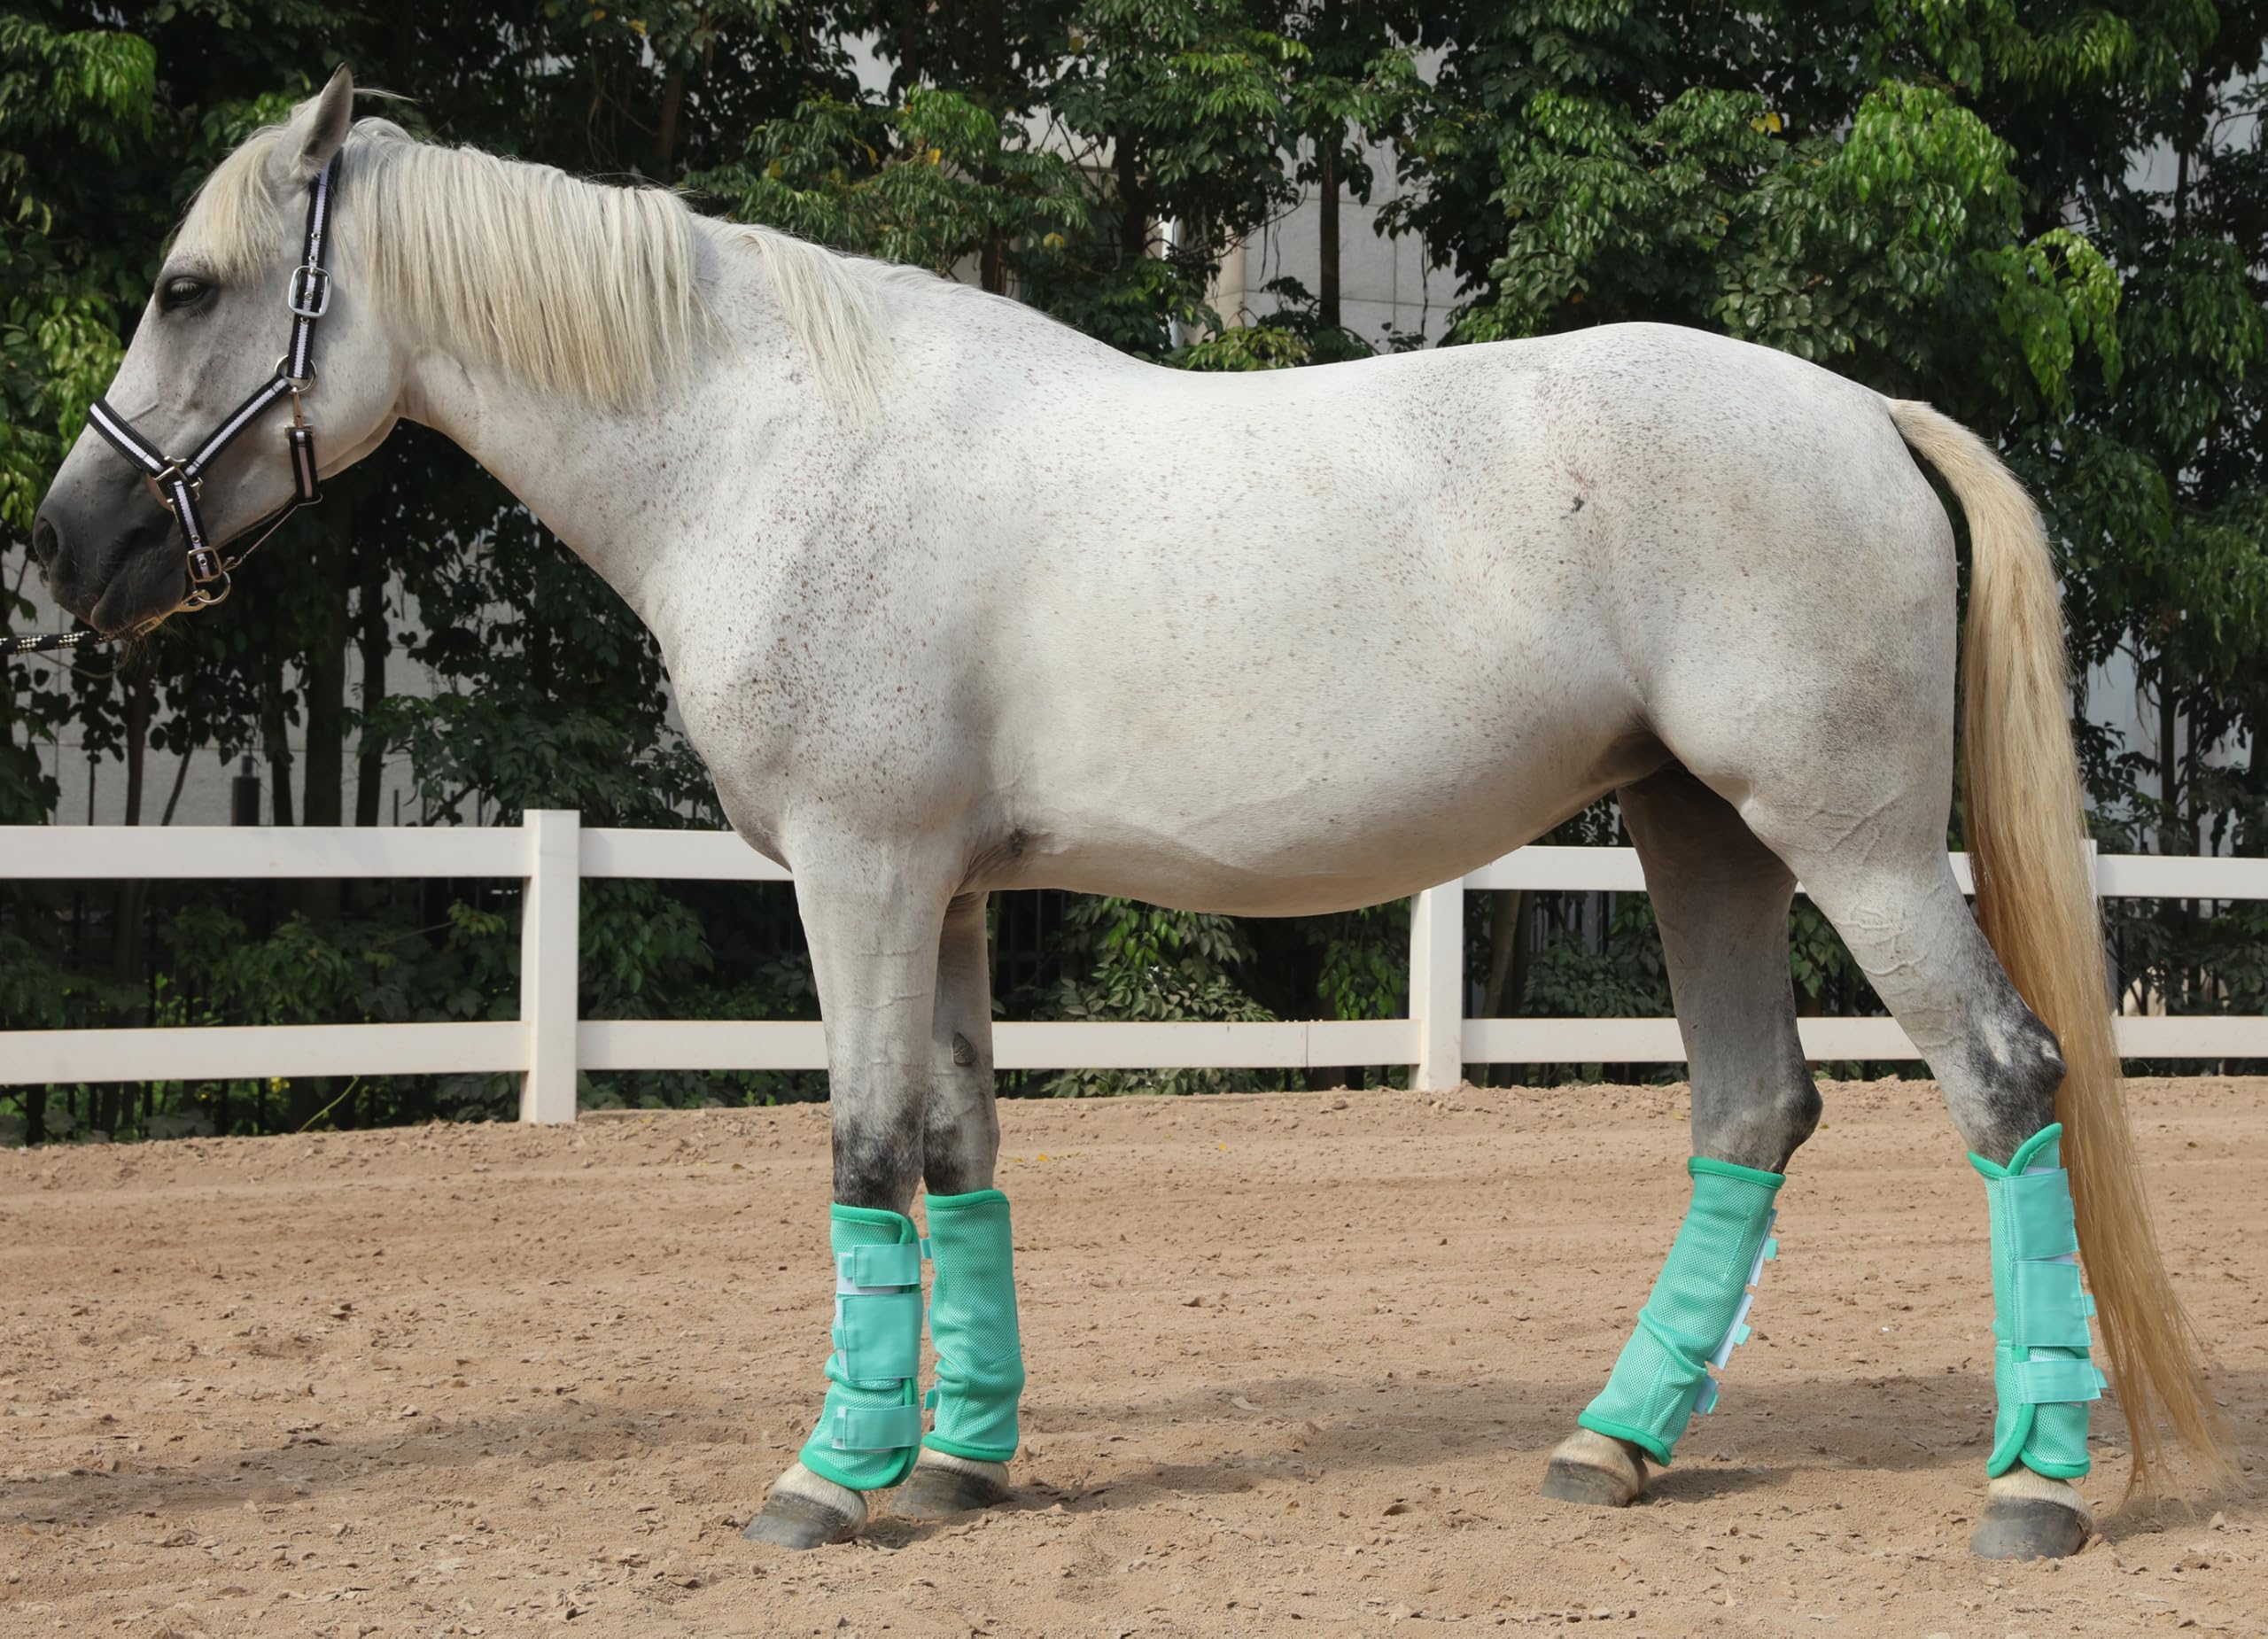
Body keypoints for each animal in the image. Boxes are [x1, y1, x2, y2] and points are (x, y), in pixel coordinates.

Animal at [32, 68, 2223, 1560]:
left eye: (188, 285)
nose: (66, 543)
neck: (763, 444)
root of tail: (1858, 410)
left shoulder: (858, 875)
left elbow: (858, 1152)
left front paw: (824, 1482)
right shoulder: (946, 894)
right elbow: (956, 1147)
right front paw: (953, 1460)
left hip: (1845, 844)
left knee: (2001, 1080)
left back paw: (2032, 1489)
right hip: (1700, 837)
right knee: (1751, 1110)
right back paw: (1611, 1441)